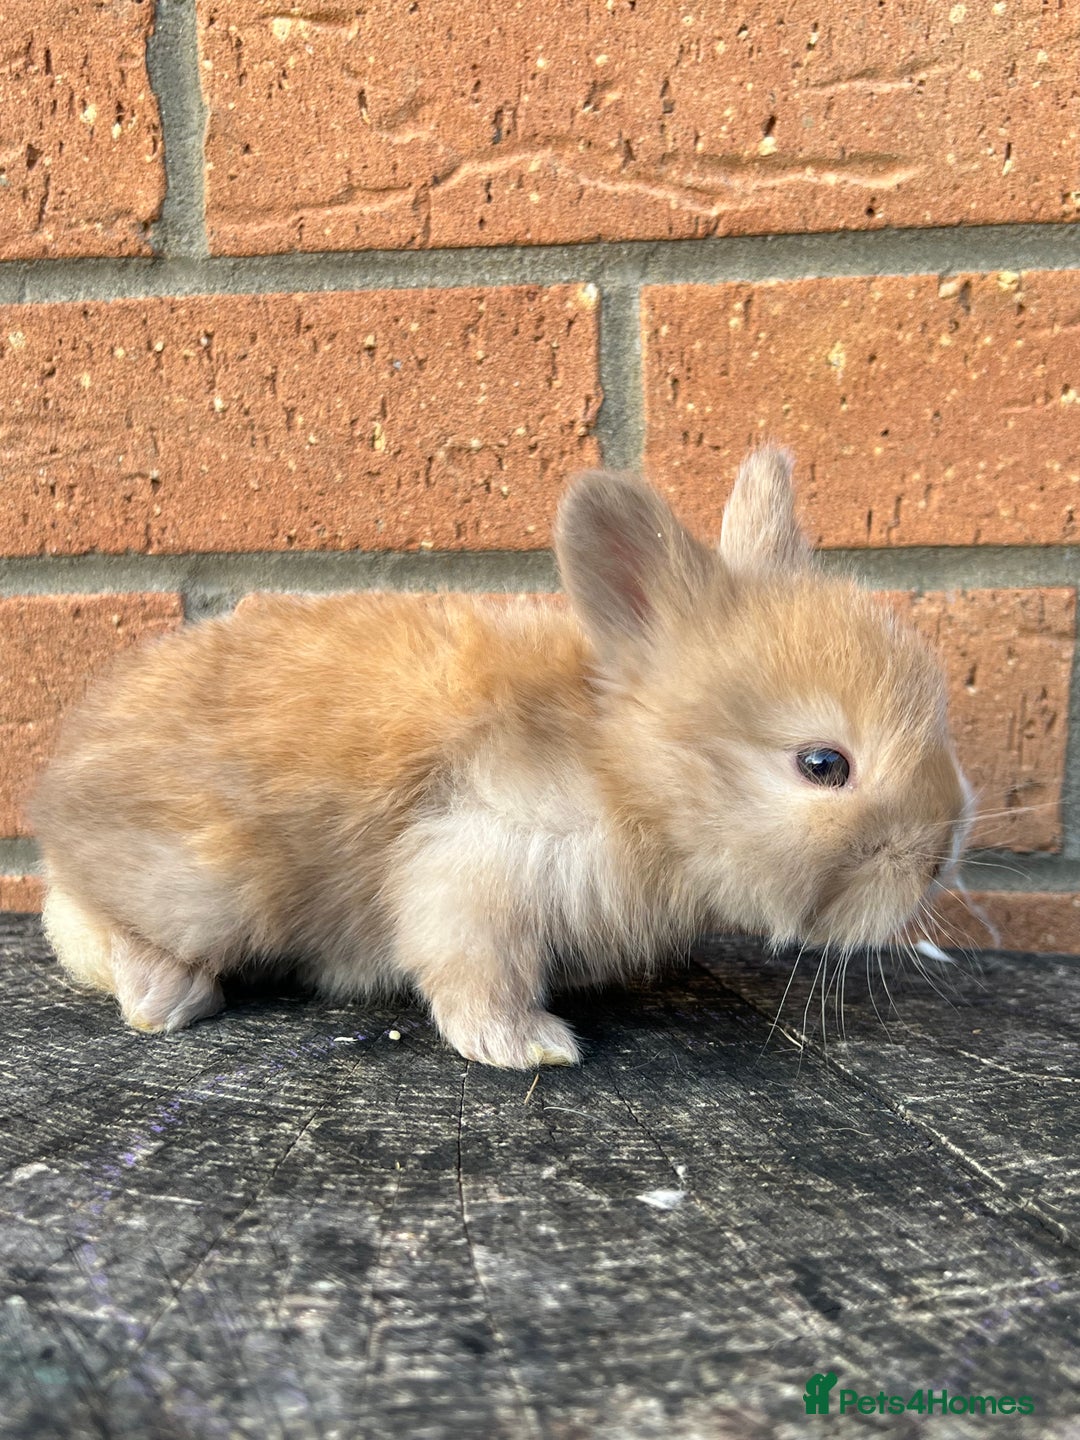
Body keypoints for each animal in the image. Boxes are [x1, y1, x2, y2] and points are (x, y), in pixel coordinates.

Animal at [31, 446, 972, 1068]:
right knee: (81, 918)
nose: (937, 859)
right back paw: (167, 994)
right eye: (823, 766)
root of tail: (57, 790)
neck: (625, 776)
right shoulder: (476, 863)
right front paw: (530, 1047)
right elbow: (472, 970)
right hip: (207, 885)